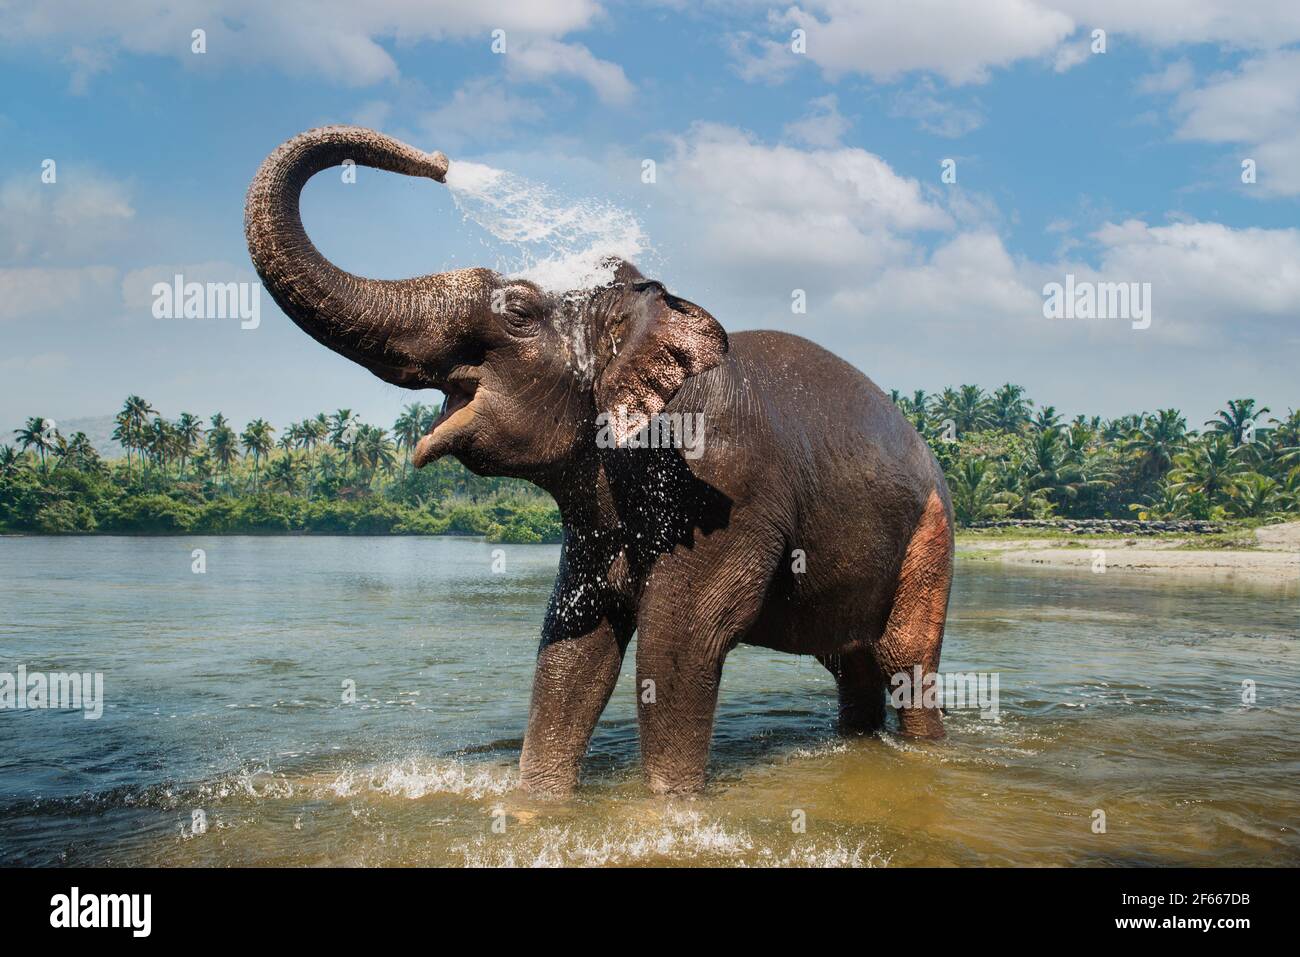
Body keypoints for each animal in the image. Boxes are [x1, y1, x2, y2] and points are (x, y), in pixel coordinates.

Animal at [245, 127, 956, 790]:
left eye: (519, 312)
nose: (440, 162)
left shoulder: (725, 488)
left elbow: (678, 647)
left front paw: (668, 807)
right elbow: (574, 647)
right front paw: (537, 801)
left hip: (932, 536)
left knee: (906, 661)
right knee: (850, 663)